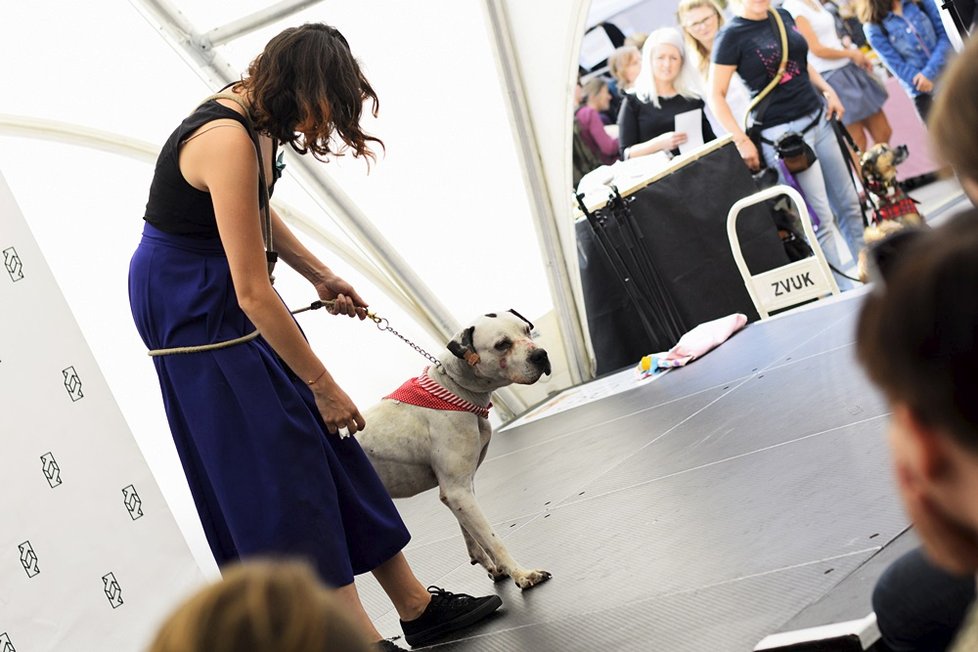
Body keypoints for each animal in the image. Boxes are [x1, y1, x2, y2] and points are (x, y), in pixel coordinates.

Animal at [358, 310, 552, 592]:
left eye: (526, 330)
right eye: (502, 344)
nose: (541, 354)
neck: (454, 389)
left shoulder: (459, 491)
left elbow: (472, 536)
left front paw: (495, 568)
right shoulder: (458, 491)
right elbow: (493, 539)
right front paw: (521, 574)